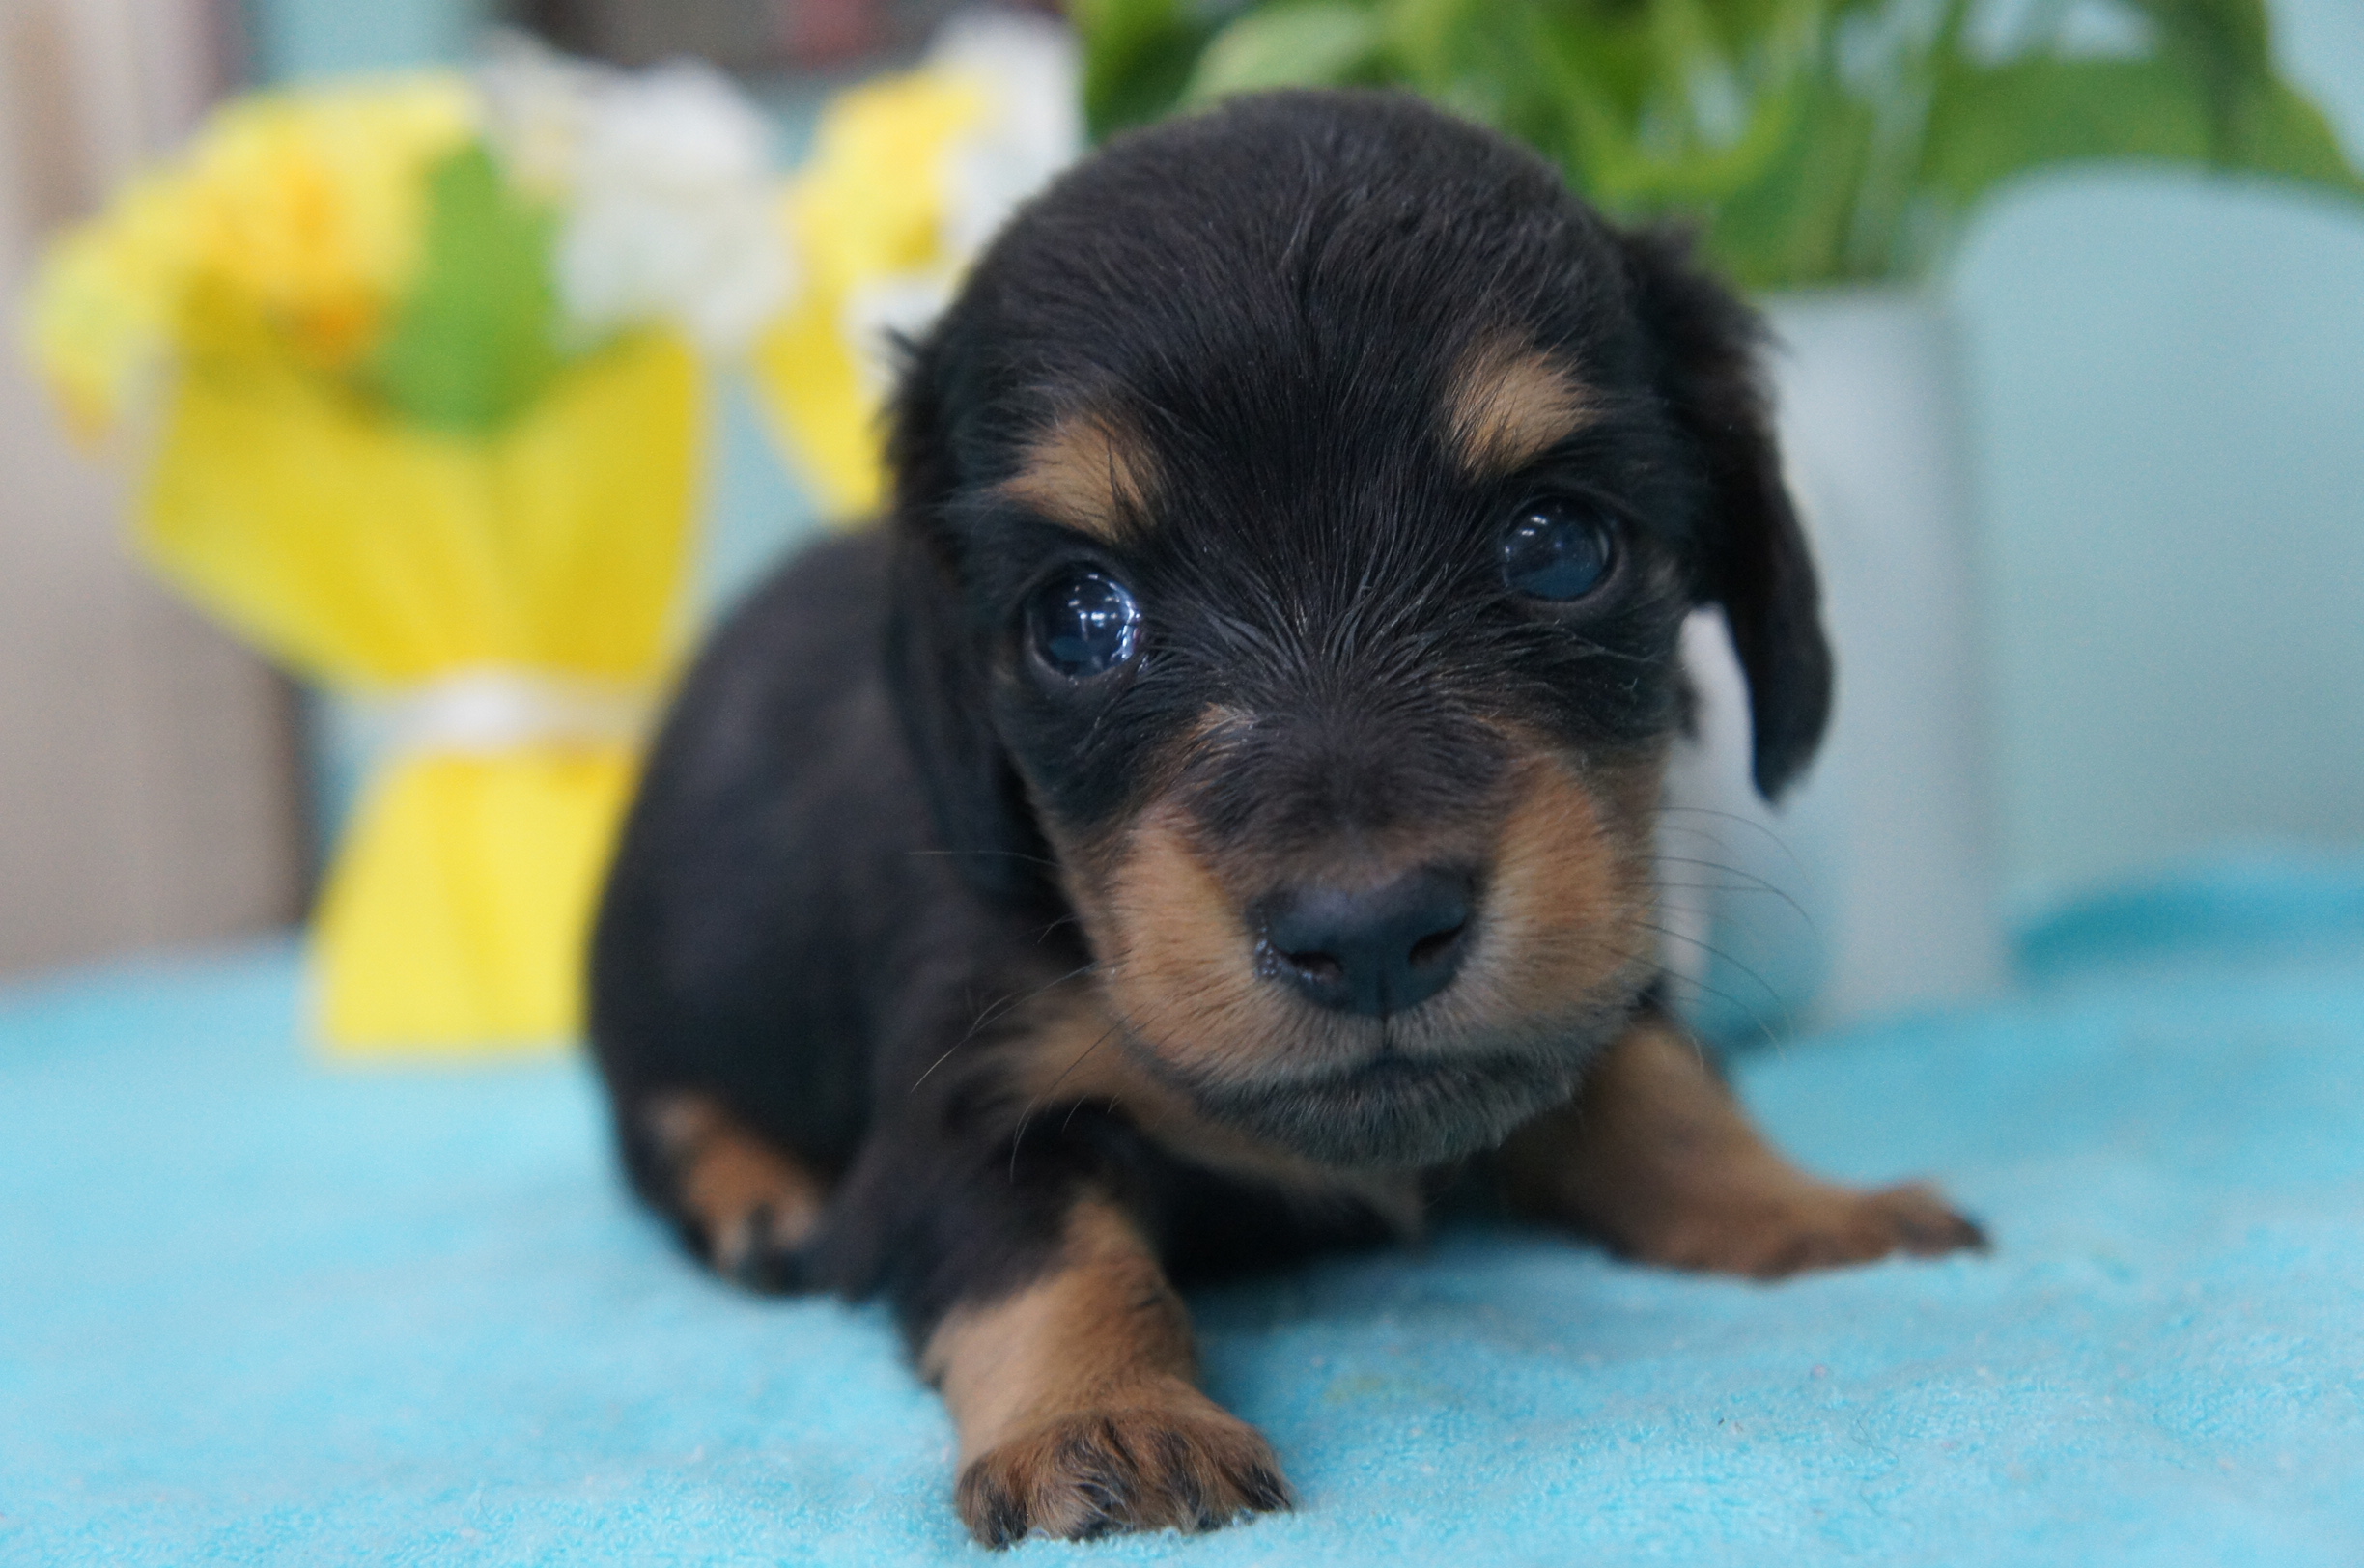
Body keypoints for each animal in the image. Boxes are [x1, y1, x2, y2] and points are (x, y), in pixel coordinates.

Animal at [586, 92, 1976, 1551]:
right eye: (1079, 618)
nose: (1370, 936)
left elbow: (1660, 1086)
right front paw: (1107, 1422)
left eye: (1557, 545)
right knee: (671, 1121)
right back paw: (762, 1202)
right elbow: (1051, 1257)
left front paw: (1808, 1208)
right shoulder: (960, 1106)